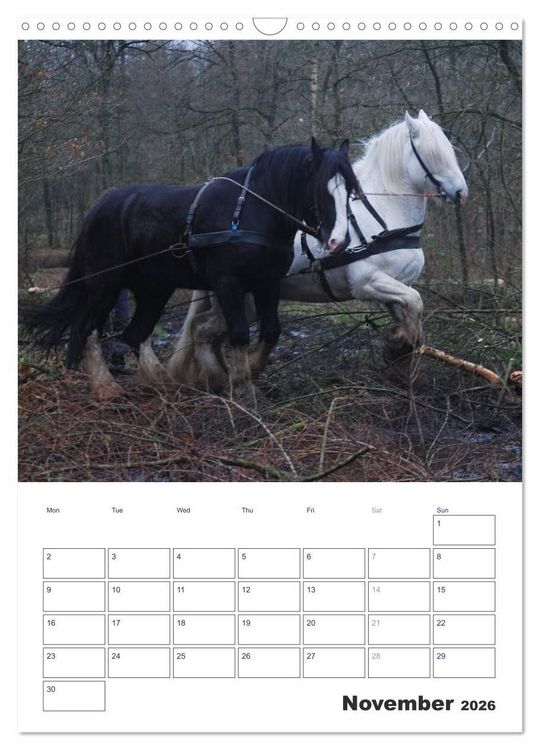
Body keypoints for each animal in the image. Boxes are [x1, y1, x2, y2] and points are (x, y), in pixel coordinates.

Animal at [21, 138, 359, 399]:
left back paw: (161, 383)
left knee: (134, 333)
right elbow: (238, 333)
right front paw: (240, 383)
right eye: (322, 190)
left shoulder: (268, 282)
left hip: (154, 289)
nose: (339, 241)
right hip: (103, 285)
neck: (251, 211)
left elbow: (271, 332)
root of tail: (98, 208)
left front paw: (241, 373)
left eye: (350, 191)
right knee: (86, 330)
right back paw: (106, 388)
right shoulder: (228, 282)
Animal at [166, 111, 468, 391]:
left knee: (203, 330)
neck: (384, 215)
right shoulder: (368, 282)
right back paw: (223, 377)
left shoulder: (395, 286)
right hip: (240, 296)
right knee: (203, 330)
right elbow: (416, 302)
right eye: (432, 153)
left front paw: (400, 360)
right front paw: (397, 346)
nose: (461, 192)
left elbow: (411, 319)